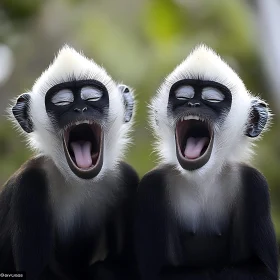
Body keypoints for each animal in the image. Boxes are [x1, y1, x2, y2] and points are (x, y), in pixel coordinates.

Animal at [0, 45, 139, 280]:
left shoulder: (126, 178)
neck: (78, 181)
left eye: (92, 98)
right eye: (62, 103)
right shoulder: (29, 184)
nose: (80, 110)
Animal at [135, 44, 278, 278]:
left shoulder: (255, 183)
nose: (193, 103)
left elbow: (263, 271)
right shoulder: (151, 185)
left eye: (213, 99)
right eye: (182, 96)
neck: (201, 178)